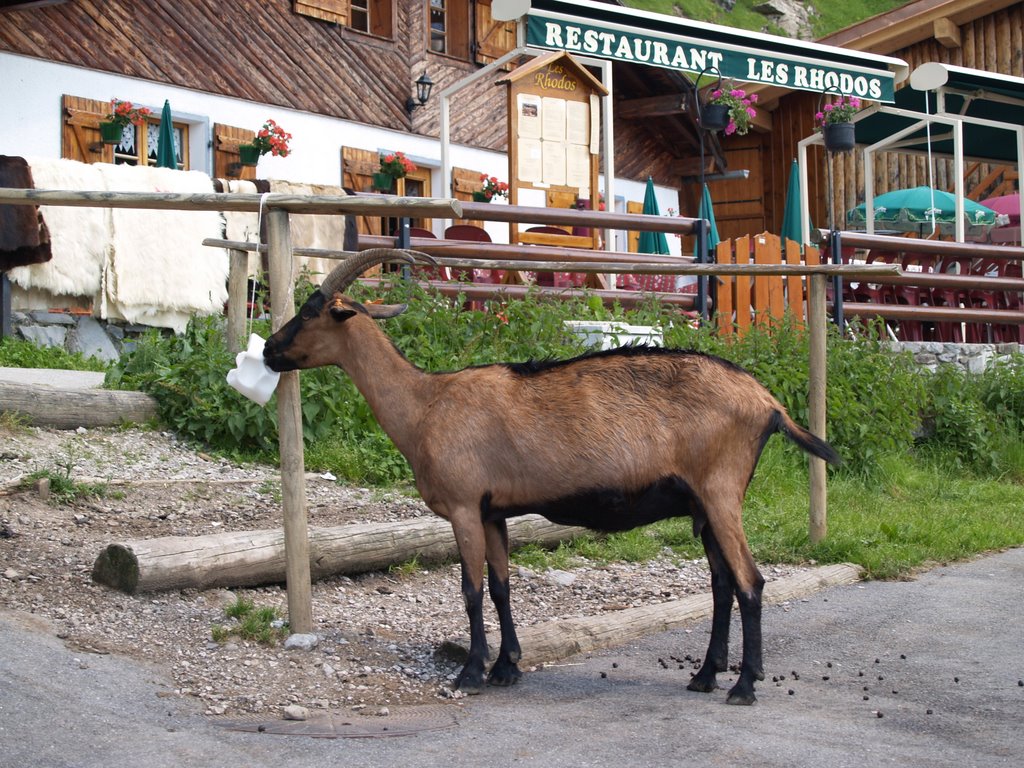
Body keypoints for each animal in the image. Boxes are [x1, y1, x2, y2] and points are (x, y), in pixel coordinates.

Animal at [264, 249, 839, 708]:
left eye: (311, 312)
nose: (269, 350)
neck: (426, 405)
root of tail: (768, 404)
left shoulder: (463, 507)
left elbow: (471, 588)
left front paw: (471, 672)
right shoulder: (492, 511)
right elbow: (501, 586)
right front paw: (507, 667)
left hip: (720, 491)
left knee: (749, 582)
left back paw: (743, 686)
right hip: (704, 503)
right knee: (722, 584)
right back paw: (704, 676)